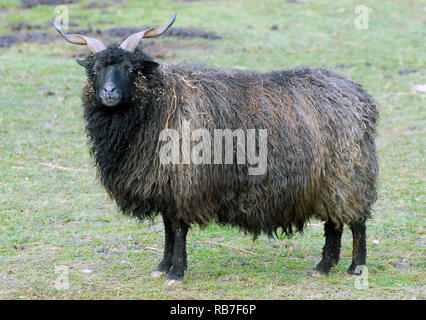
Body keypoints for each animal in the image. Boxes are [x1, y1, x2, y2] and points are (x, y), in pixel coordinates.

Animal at [52, 14, 380, 284]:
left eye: (131, 68)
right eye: (94, 69)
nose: (109, 92)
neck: (159, 106)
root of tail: (361, 97)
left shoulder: (184, 183)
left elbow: (178, 230)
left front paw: (176, 273)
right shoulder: (166, 186)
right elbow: (168, 228)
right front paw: (163, 266)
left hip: (349, 172)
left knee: (356, 222)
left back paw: (355, 268)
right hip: (329, 181)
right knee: (334, 222)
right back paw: (324, 266)